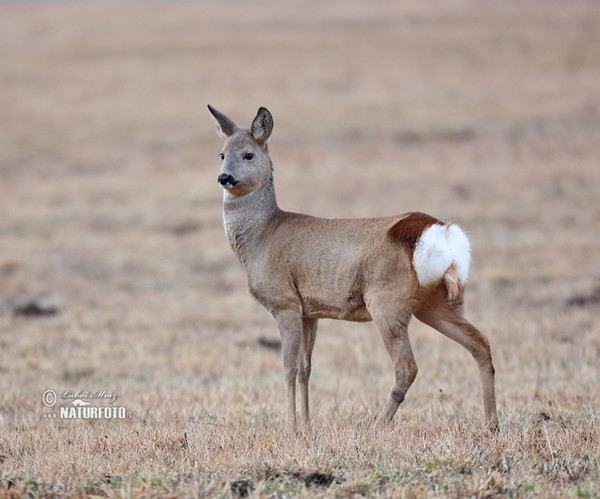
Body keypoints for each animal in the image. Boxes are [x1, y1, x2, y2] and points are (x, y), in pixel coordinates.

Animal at [209, 105, 500, 434]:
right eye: (222, 153)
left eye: (248, 154)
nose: (224, 177)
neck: (263, 236)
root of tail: (436, 233)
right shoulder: (310, 312)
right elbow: (305, 368)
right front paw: (307, 425)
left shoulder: (284, 303)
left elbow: (288, 368)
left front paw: (292, 427)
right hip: (438, 302)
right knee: (480, 343)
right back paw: (492, 424)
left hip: (386, 302)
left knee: (407, 367)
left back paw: (378, 427)